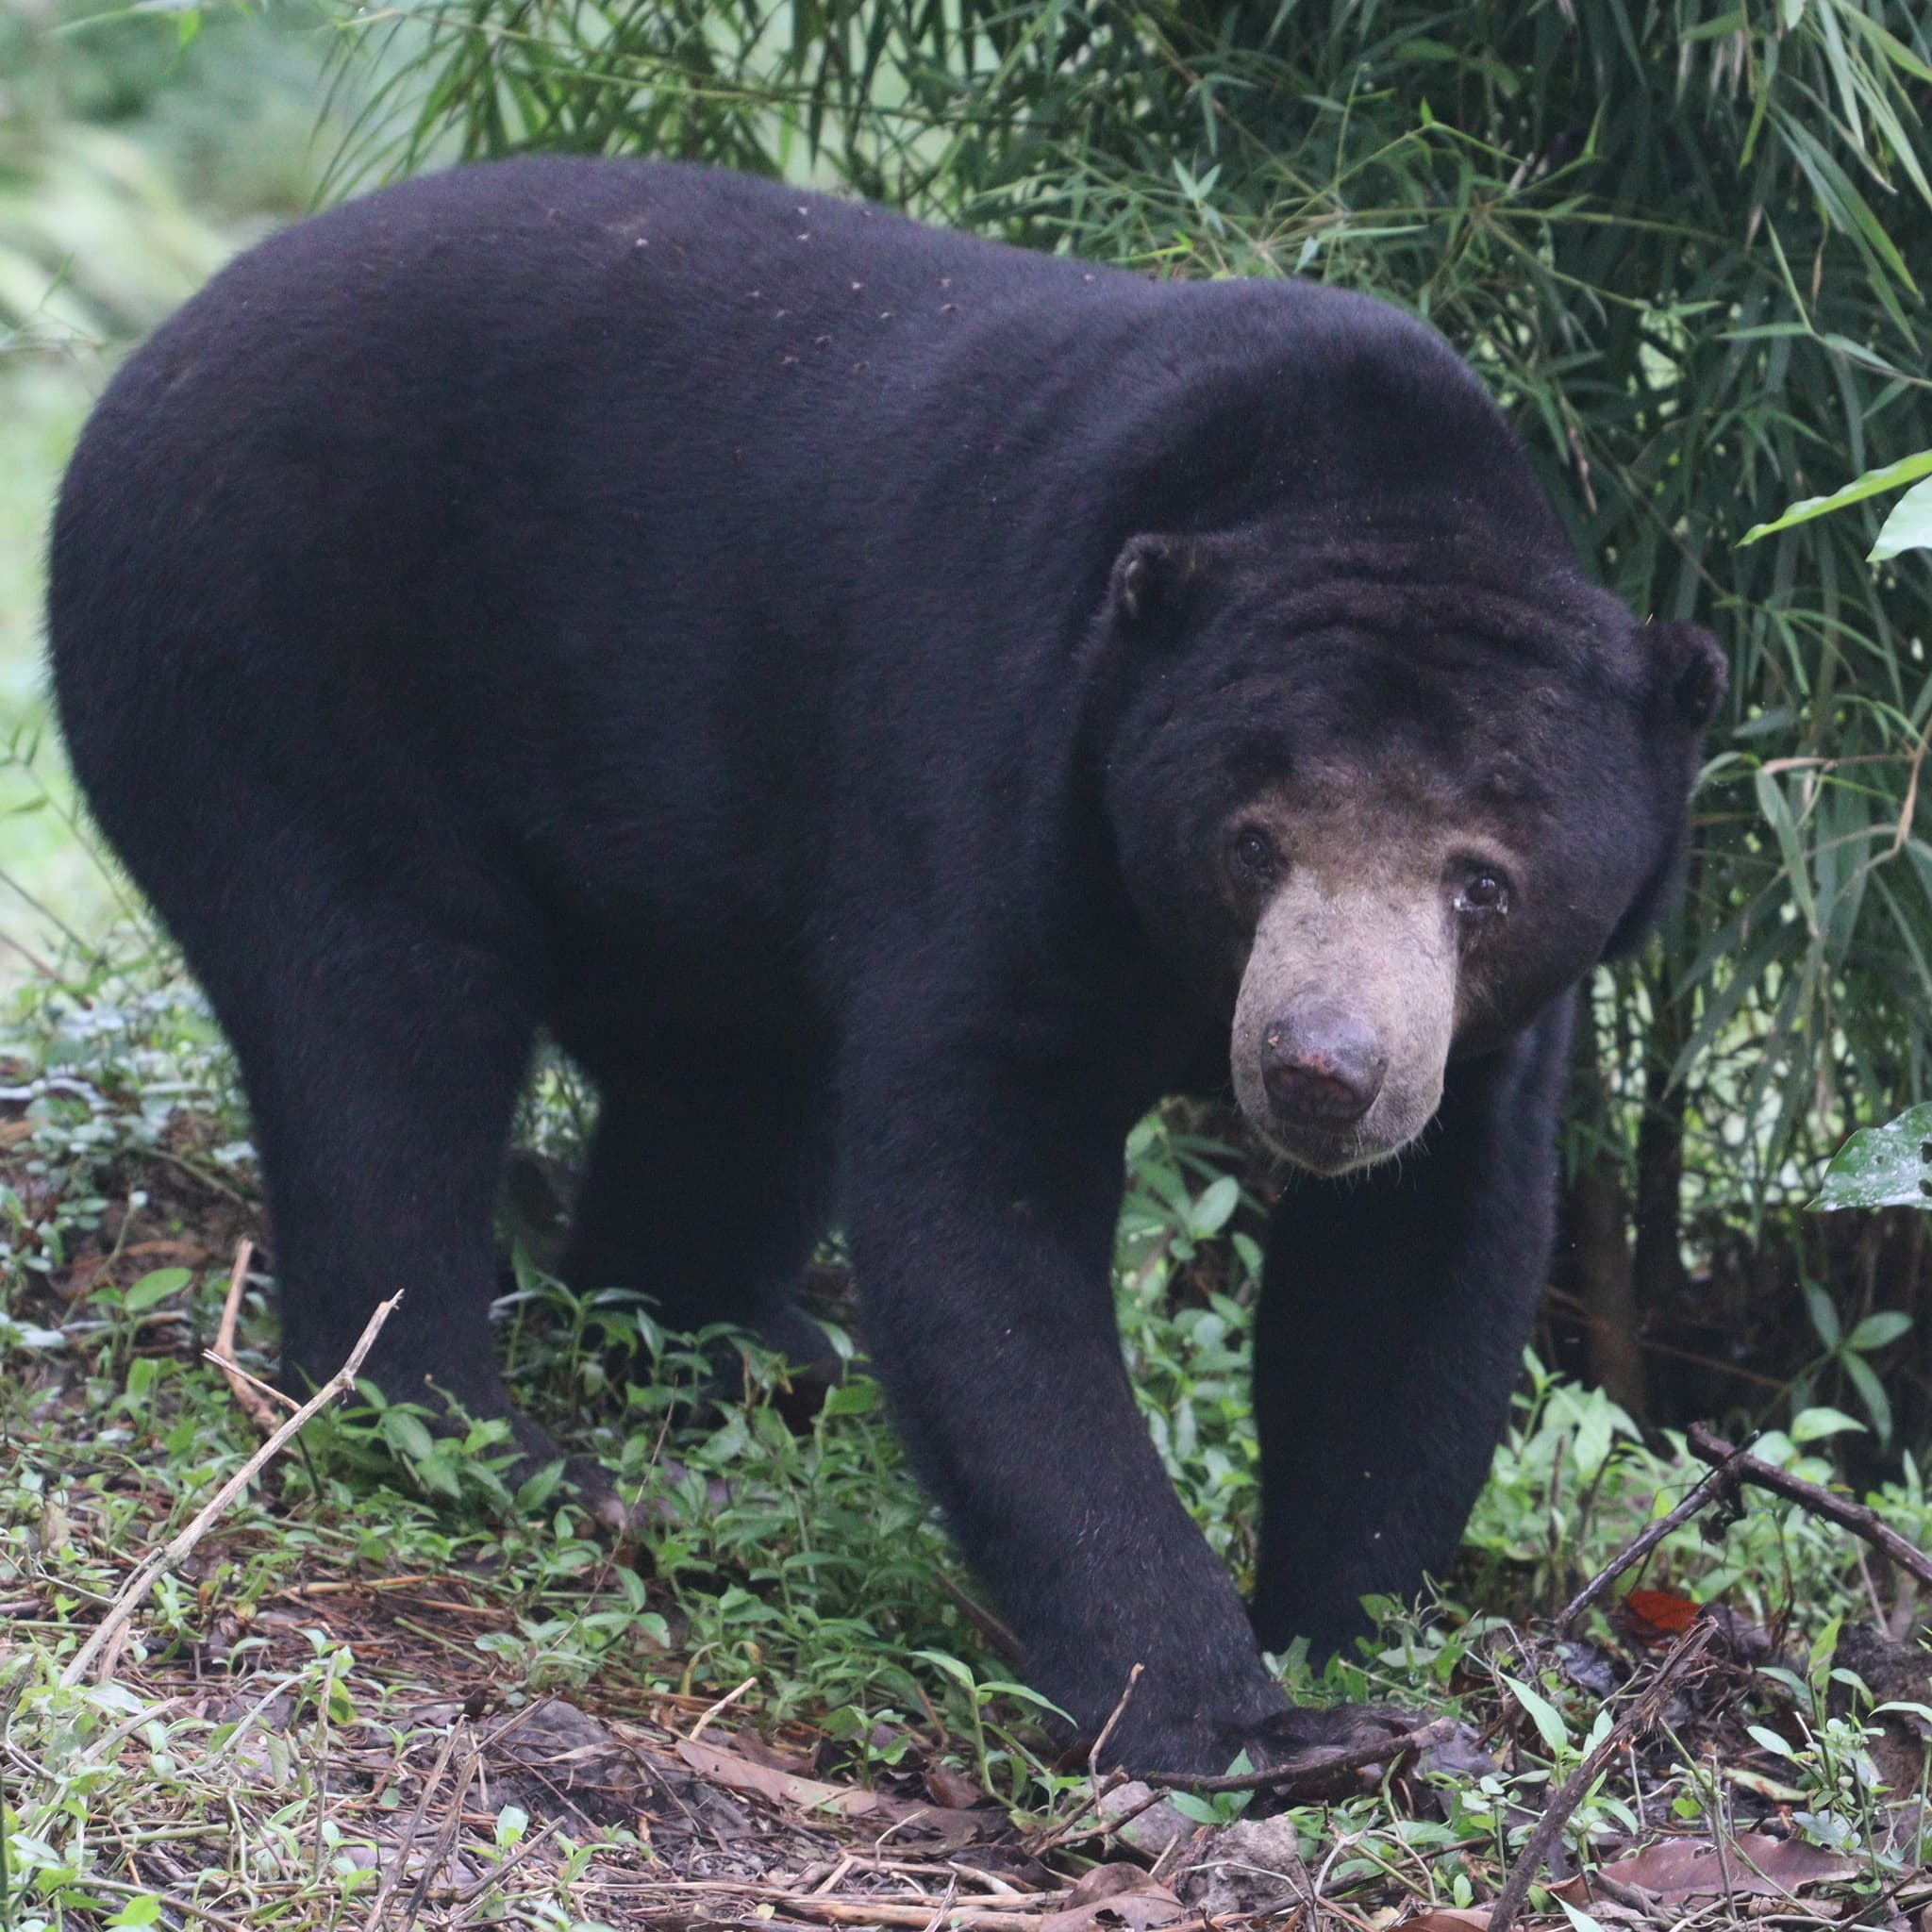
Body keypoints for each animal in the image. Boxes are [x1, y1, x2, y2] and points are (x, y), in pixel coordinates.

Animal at [47, 156, 1725, 1775]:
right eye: (1252, 845)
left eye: (1483, 883)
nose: (1320, 1072)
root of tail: (151, 363)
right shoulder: (1001, 770)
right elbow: (980, 1205)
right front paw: (1240, 1723)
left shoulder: (1484, 1043)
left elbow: (1418, 1261)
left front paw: (1352, 1644)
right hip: (278, 666)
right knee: (383, 1026)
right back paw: (497, 1438)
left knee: (715, 1087)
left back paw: (739, 1350)